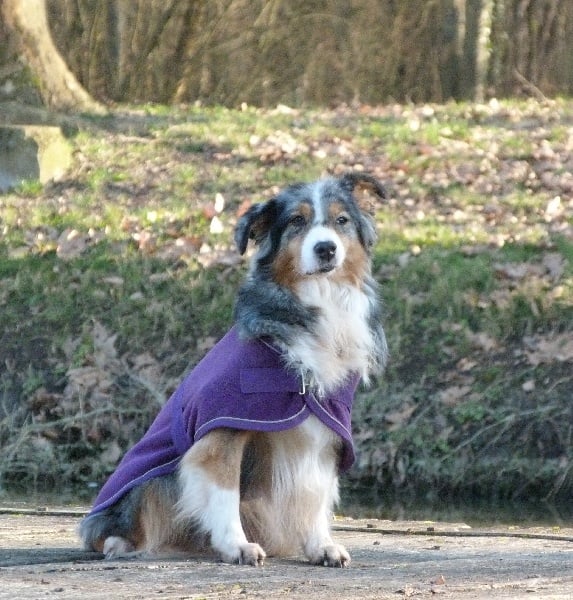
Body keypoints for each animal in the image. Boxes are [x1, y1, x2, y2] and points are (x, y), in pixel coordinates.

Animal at [79, 172, 388, 567]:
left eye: (341, 220)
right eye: (297, 221)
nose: (326, 249)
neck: (315, 301)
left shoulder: (325, 428)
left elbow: (314, 493)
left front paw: (321, 545)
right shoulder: (223, 429)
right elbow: (225, 490)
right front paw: (236, 546)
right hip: (153, 478)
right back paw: (119, 543)